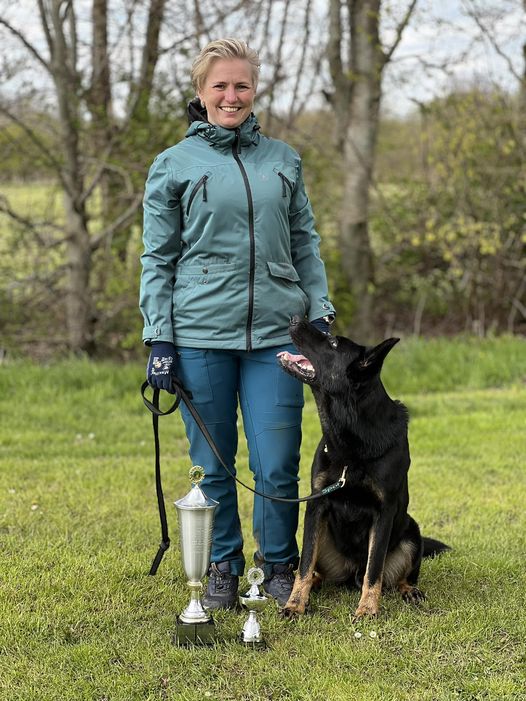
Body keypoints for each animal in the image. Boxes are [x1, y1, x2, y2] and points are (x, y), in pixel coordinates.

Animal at [278, 318, 452, 616]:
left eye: (333, 342)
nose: (294, 318)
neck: (351, 445)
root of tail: (351, 574)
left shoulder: (383, 513)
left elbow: (375, 569)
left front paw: (367, 609)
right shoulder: (316, 506)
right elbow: (304, 564)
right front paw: (295, 604)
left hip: (411, 533)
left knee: (395, 576)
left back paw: (409, 590)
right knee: (315, 569)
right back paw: (314, 585)